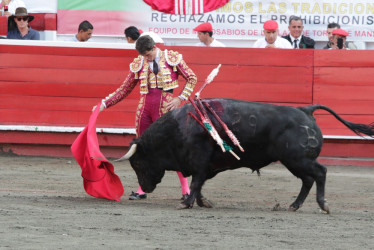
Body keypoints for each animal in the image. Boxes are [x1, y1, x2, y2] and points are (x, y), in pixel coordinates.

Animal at [117, 98, 374, 212]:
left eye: (138, 163)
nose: (144, 188)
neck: (180, 127)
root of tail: (306, 110)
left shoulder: (199, 162)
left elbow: (196, 182)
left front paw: (187, 203)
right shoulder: (206, 166)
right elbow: (200, 185)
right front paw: (202, 202)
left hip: (298, 159)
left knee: (320, 173)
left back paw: (322, 205)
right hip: (295, 162)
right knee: (308, 180)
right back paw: (293, 205)